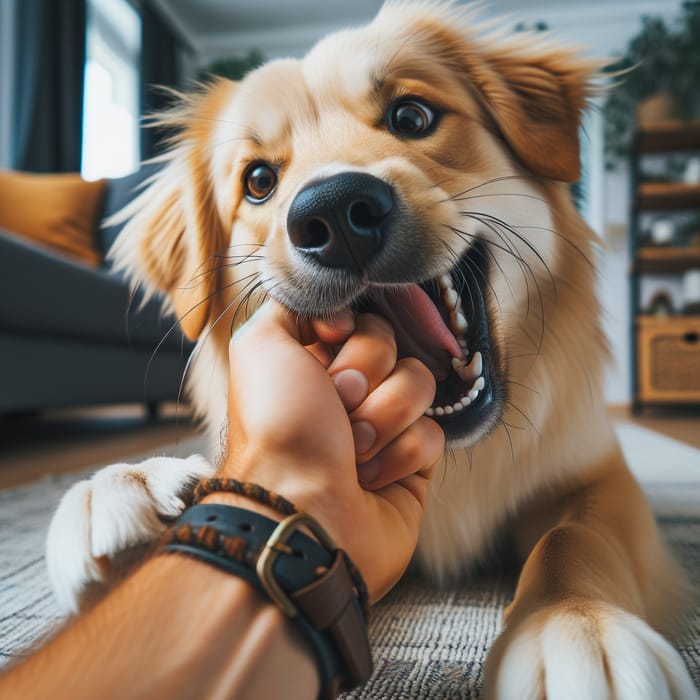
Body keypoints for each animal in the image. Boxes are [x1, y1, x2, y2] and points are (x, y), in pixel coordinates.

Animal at [46, 2, 696, 696]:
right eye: (258, 181)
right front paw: (133, 486)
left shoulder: (597, 477)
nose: (334, 215)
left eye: (412, 117)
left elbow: (574, 541)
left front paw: (576, 626)